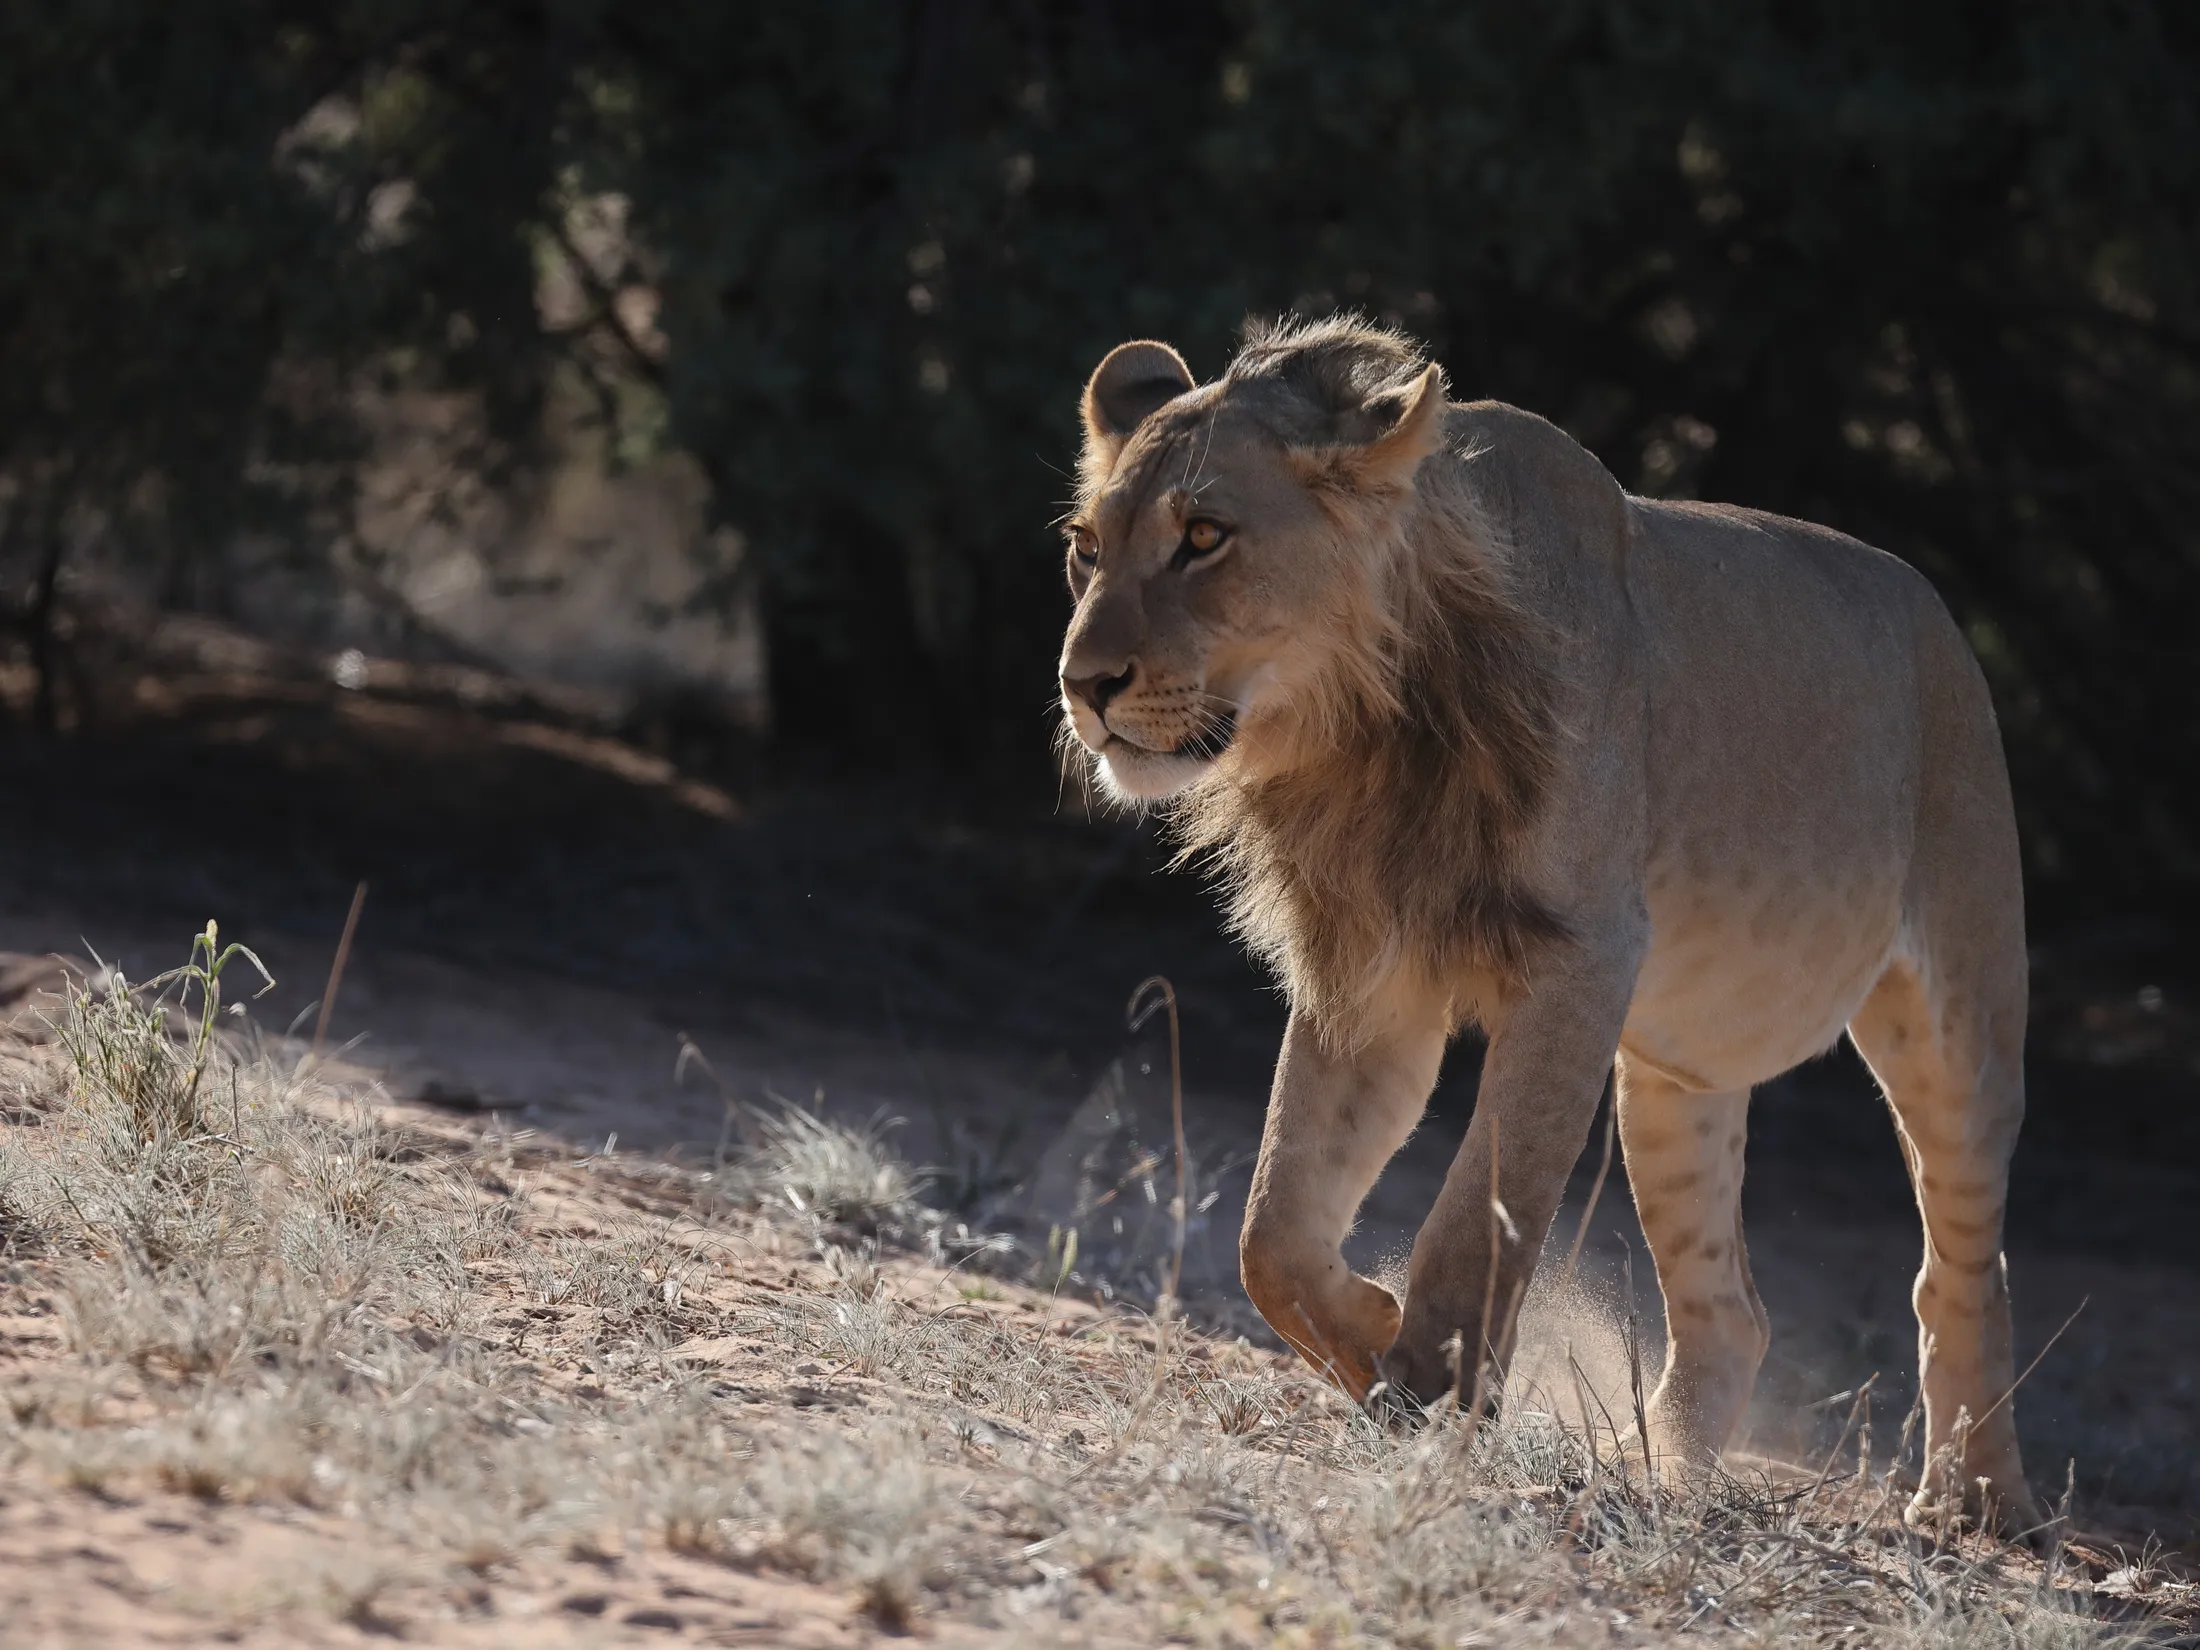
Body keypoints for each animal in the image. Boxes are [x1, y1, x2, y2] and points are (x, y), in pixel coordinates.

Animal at [1056, 315, 2040, 1534]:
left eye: (1203, 537)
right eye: (1086, 549)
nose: (1082, 684)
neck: (1361, 724)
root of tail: (1941, 619)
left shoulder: (1580, 965)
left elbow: (1481, 1207)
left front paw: (1426, 1396)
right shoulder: (1367, 974)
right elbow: (1272, 1226)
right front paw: (1370, 1334)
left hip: (1959, 1023)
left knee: (1962, 1266)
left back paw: (1975, 1501)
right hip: (1671, 1083)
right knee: (1730, 1308)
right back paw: (1665, 1475)